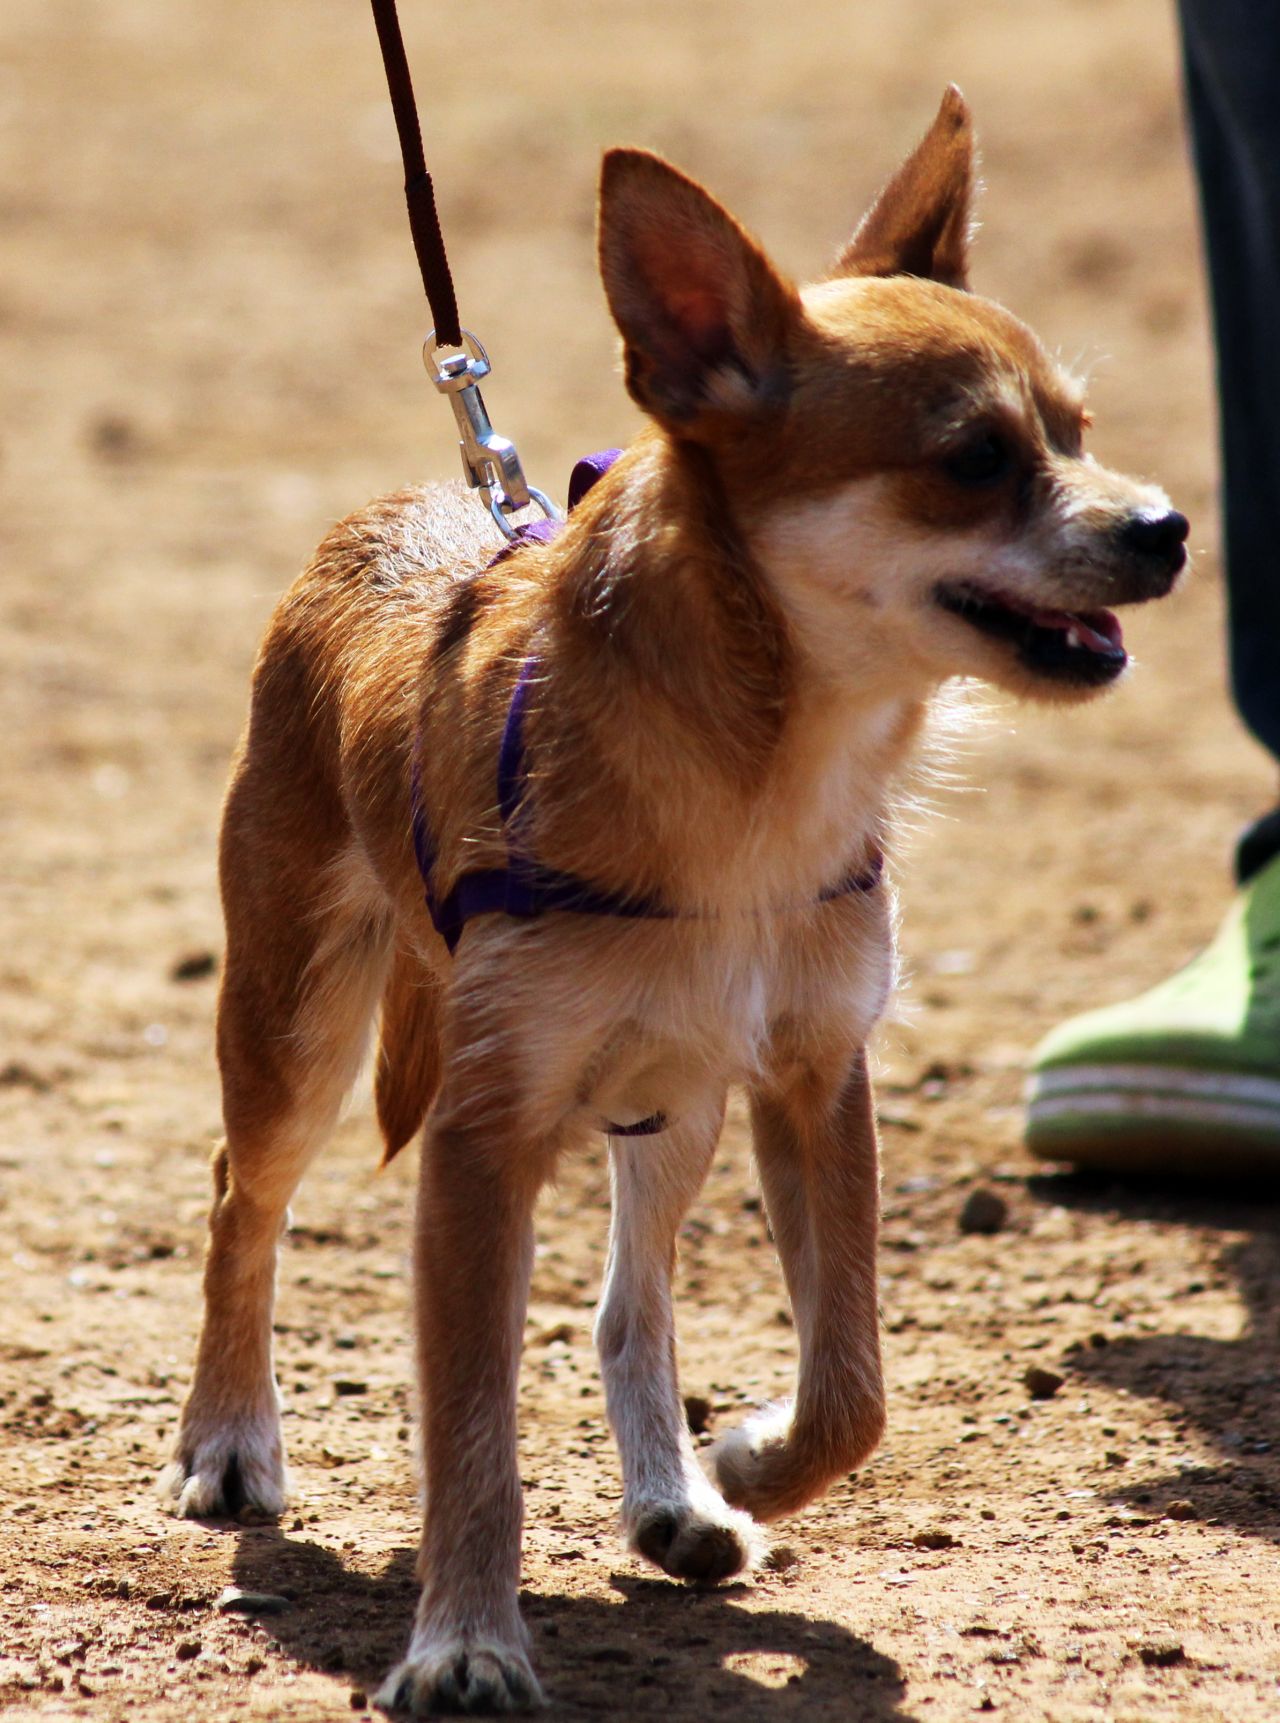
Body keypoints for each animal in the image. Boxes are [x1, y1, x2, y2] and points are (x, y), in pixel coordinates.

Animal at [165, 90, 1185, 1709]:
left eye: (1078, 431)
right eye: (972, 456)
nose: (1165, 527)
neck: (758, 784)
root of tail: (399, 509)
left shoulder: (816, 1076)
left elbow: (851, 1380)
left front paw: (751, 1459)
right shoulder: (481, 1138)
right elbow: (471, 1429)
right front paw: (464, 1638)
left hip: (673, 1098)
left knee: (627, 1298)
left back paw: (673, 1495)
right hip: (297, 1028)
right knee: (237, 1196)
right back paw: (229, 1438)